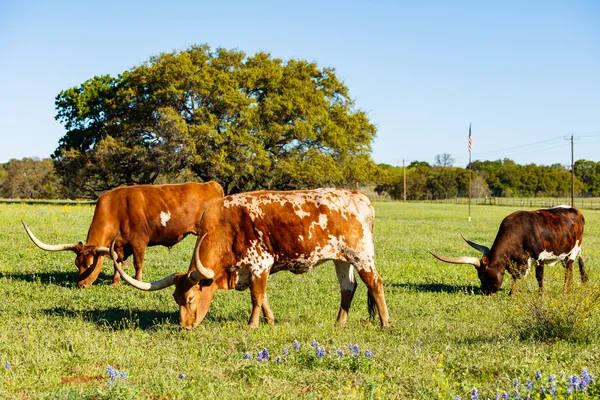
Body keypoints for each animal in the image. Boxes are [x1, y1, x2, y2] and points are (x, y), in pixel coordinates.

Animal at [22, 181, 225, 288]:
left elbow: (138, 264)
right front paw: (115, 282)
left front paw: (137, 281)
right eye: (76, 264)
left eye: (90, 264)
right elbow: (116, 263)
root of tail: (211, 184)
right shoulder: (119, 245)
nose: (81, 285)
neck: (115, 209)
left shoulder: (139, 242)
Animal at [110, 189, 392, 330]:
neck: (227, 225)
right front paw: (270, 320)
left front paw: (253, 324)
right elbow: (262, 296)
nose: (186, 327)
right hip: (341, 259)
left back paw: (385, 323)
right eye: (175, 299)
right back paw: (339, 322)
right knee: (348, 288)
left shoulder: (260, 264)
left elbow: (257, 297)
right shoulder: (251, 270)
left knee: (375, 284)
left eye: (189, 299)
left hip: (361, 256)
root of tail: (358, 196)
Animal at [428, 208, 588, 296]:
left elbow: (539, 277)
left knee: (569, 269)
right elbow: (514, 275)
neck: (520, 231)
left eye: (483, 275)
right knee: (569, 270)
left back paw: (565, 291)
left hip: (574, 250)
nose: (486, 293)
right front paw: (512, 293)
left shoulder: (538, 257)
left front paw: (541, 294)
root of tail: (577, 211)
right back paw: (569, 289)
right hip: (565, 255)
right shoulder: (518, 259)